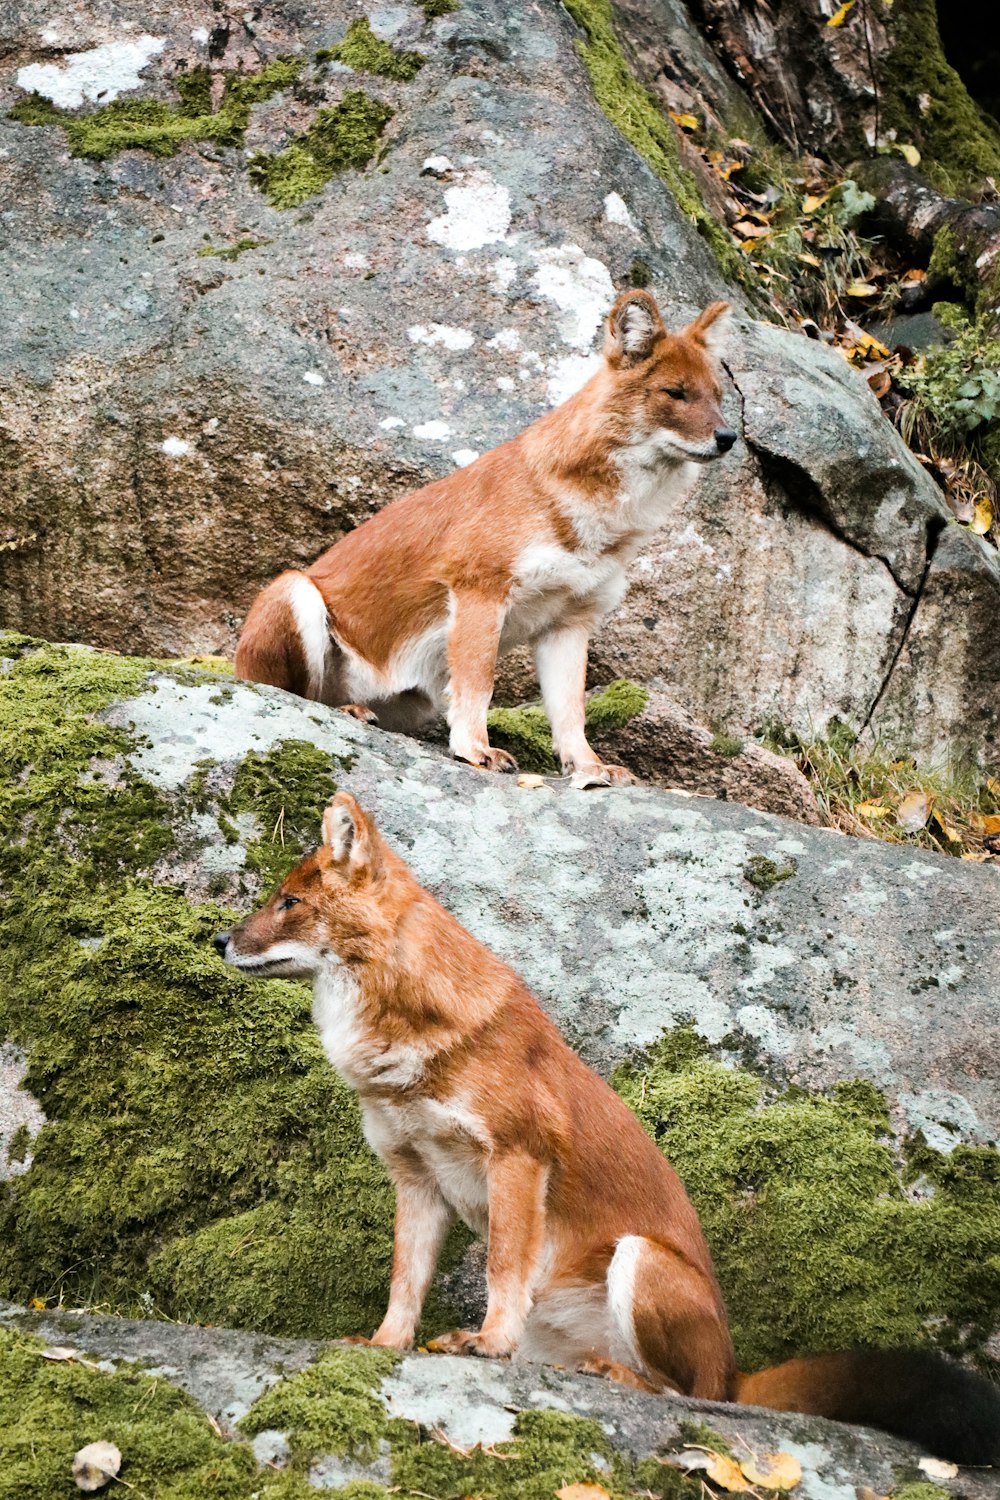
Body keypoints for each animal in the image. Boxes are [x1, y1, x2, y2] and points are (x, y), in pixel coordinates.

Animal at [215, 798, 1000, 1464]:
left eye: (289, 902)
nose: (218, 938)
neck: (402, 1041)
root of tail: (738, 1369)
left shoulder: (517, 1157)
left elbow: (501, 1265)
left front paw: (486, 1341)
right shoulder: (415, 1175)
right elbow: (405, 1278)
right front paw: (385, 1344)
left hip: (640, 1261)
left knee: (694, 1397)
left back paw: (615, 1377)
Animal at [235, 286, 734, 792]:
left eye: (718, 397)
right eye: (675, 393)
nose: (729, 436)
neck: (600, 520)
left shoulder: (569, 622)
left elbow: (570, 710)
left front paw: (588, 767)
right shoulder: (479, 589)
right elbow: (479, 680)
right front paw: (475, 749)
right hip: (294, 591)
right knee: (294, 694)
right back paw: (347, 709)